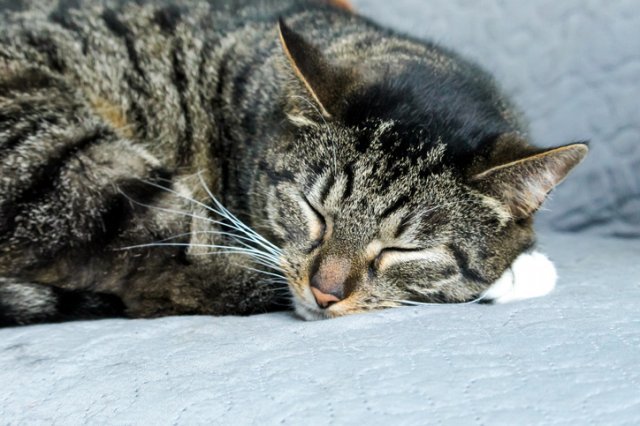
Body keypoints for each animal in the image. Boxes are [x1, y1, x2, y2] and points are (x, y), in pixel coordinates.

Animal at [0, 0, 588, 326]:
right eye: (314, 211)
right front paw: (516, 272)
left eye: (403, 249)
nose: (325, 292)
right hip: (60, 154)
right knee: (163, 277)